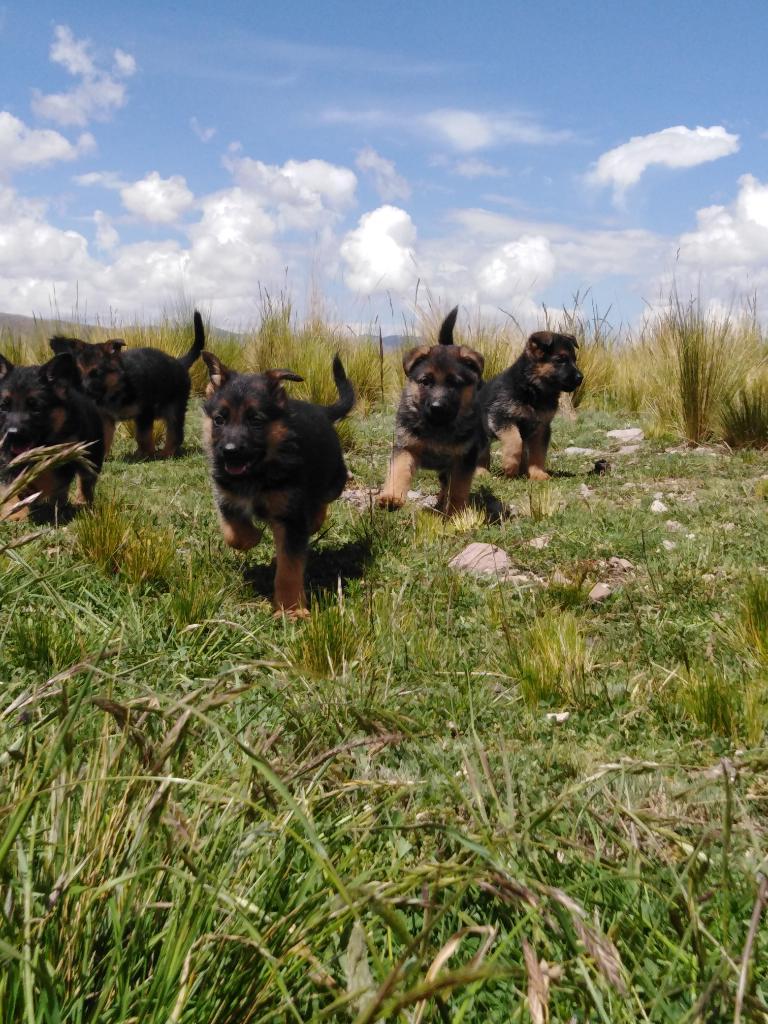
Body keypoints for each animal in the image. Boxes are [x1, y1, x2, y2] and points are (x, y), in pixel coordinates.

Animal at [0, 352, 104, 520]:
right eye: (3, 407)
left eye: (36, 408)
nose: (12, 433)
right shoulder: (6, 458)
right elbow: (10, 484)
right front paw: (15, 512)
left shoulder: (65, 454)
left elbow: (50, 478)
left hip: (92, 455)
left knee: (86, 481)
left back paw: (81, 502)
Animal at [50, 307, 207, 460]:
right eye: (77, 373)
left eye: (98, 373)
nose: (81, 394)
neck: (118, 386)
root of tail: (179, 362)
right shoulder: (105, 417)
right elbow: (105, 437)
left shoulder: (145, 412)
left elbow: (143, 436)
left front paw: (147, 454)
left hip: (174, 408)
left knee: (175, 432)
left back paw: (166, 453)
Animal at [198, 348, 354, 618]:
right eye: (219, 420)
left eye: (256, 420)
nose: (229, 452)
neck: (258, 472)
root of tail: (321, 410)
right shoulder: (226, 497)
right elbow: (234, 533)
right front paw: (253, 537)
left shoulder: (290, 517)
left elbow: (289, 567)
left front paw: (291, 609)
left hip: (334, 478)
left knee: (322, 500)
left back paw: (314, 518)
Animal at [380, 301, 487, 512]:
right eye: (425, 382)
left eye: (454, 384)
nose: (437, 407)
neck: (437, 427)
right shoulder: (406, 447)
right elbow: (399, 470)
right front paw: (392, 496)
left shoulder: (463, 458)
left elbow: (459, 486)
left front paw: (456, 510)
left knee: (447, 484)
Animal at [481, 333, 581, 481]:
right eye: (560, 360)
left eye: (574, 360)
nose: (581, 378)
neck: (533, 387)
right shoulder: (501, 417)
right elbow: (515, 441)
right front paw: (510, 467)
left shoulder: (542, 427)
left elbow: (538, 453)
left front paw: (538, 474)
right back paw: (481, 472)